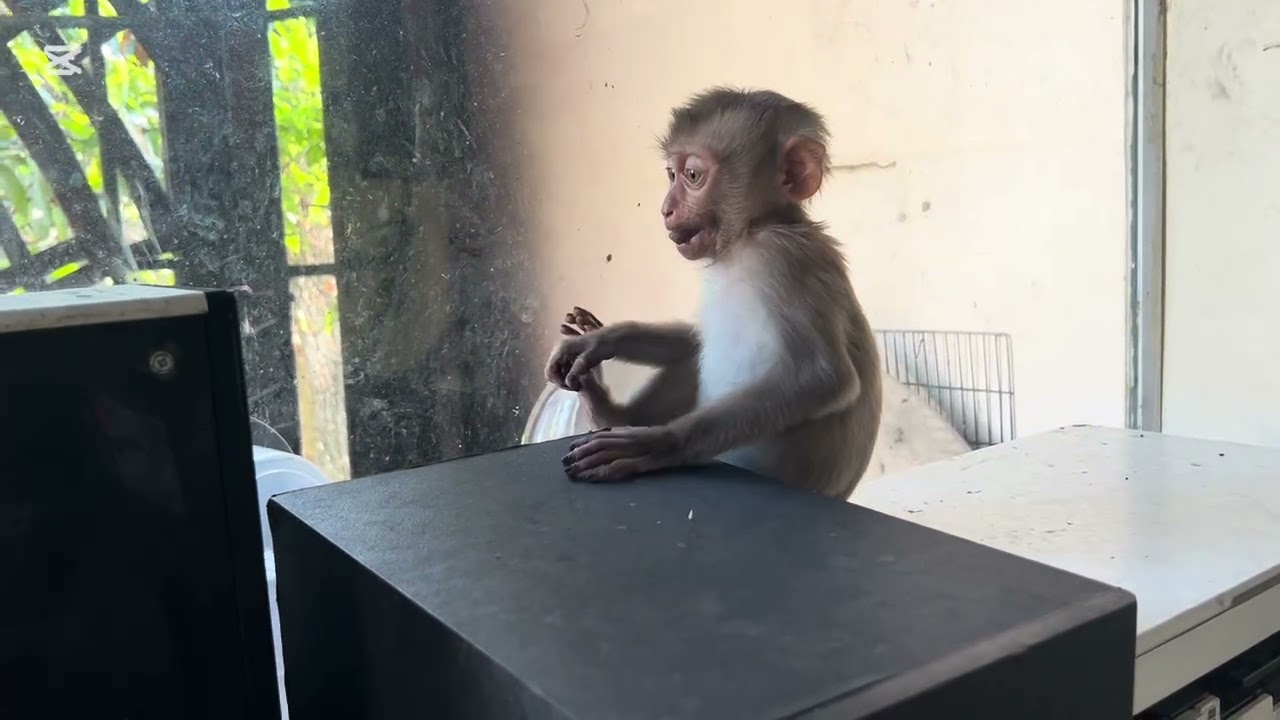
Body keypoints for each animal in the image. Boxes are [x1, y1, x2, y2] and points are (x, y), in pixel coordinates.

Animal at [545, 87, 883, 500]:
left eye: (692, 176)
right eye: (671, 175)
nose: (666, 209)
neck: (749, 235)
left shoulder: (784, 259)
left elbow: (823, 377)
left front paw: (658, 444)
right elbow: (696, 339)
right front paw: (603, 339)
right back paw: (607, 410)